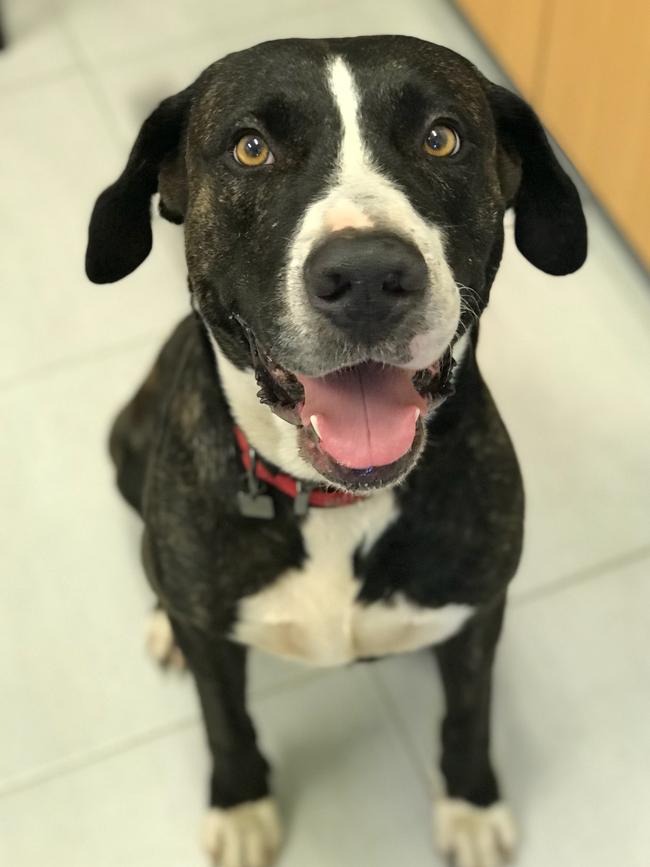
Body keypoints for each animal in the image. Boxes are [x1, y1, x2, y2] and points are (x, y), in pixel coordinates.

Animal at [83, 35, 584, 867]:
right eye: (250, 147)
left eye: (442, 137)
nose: (369, 277)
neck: (337, 500)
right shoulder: (214, 638)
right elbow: (225, 719)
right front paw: (241, 806)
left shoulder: (480, 607)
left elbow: (469, 713)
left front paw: (471, 803)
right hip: (127, 444)